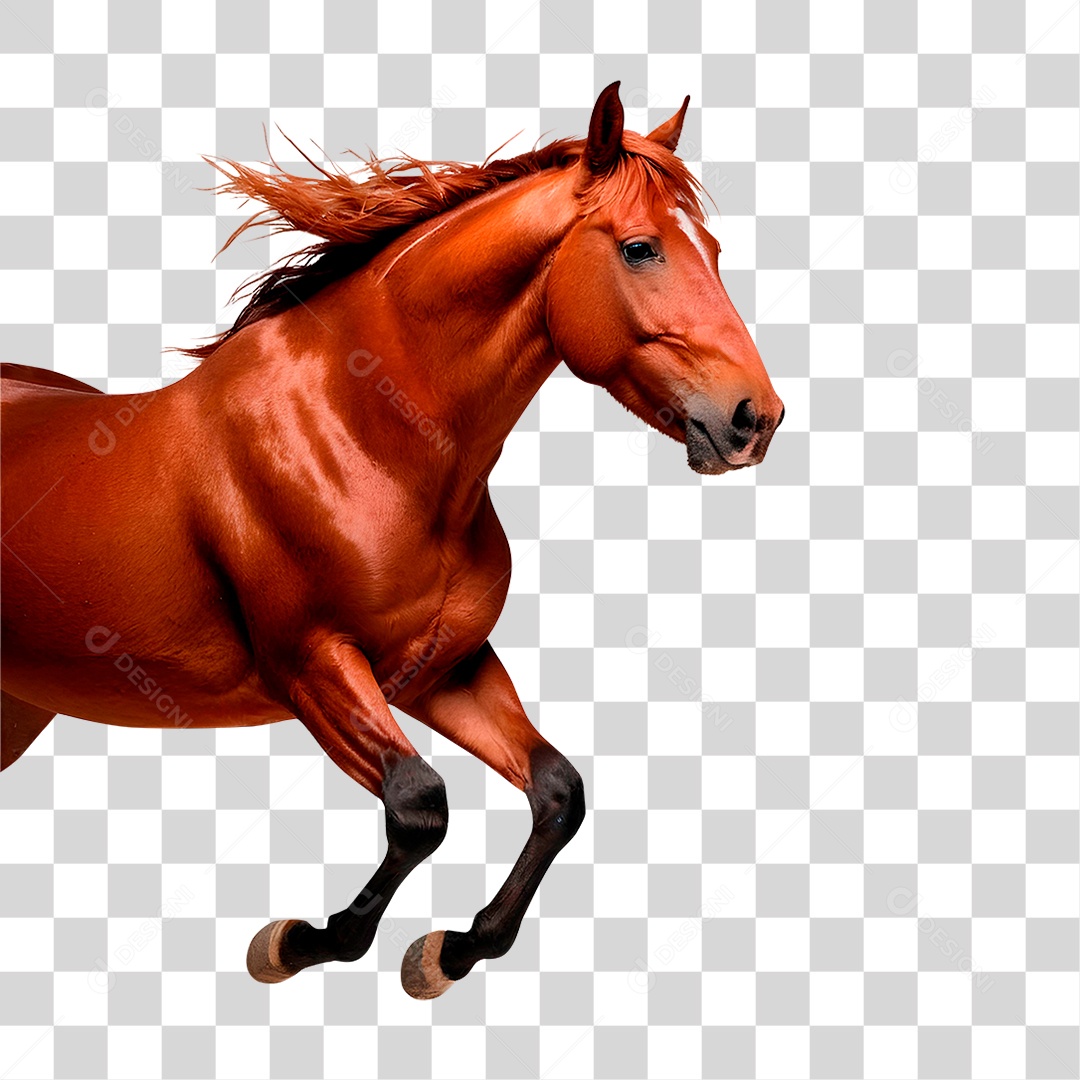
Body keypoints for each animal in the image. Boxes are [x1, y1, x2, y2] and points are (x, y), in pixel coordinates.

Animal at [0, 82, 783, 998]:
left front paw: (453, 949)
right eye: (640, 248)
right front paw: (298, 942)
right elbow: (419, 806)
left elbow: (557, 792)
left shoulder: (438, 670)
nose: (754, 419)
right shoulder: (314, 666)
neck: (363, 429)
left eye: (715, 248)